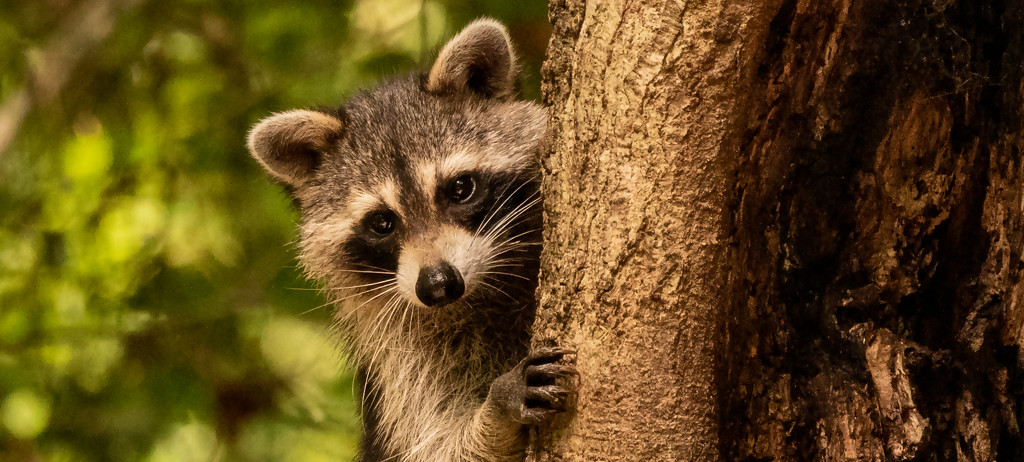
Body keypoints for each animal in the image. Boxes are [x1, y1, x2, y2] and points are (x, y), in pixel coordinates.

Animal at [245, 18, 577, 462]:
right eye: (382, 222)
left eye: (460, 189)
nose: (438, 285)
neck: (483, 295)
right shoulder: (401, 361)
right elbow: (435, 444)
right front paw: (496, 409)